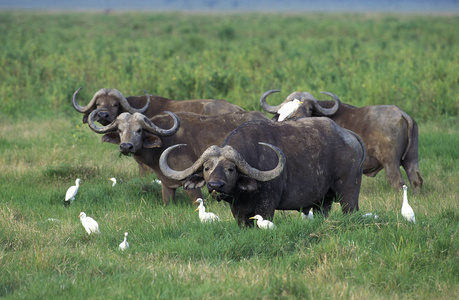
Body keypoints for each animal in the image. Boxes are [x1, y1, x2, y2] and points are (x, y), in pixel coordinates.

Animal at [87, 109, 270, 205]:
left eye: (139, 130)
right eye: (120, 130)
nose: (126, 146)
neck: (166, 143)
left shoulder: (192, 185)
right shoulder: (167, 185)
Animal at [159, 118, 366, 226]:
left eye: (230, 169)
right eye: (206, 168)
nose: (215, 185)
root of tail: (348, 135)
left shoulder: (267, 206)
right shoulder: (238, 211)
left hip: (349, 193)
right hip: (323, 201)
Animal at [262, 89, 424, 193]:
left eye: (309, 108)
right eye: (289, 108)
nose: (297, 118)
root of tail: (401, 114)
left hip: (390, 162)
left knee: (397, 182)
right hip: (411, 158)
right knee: (416, 180)